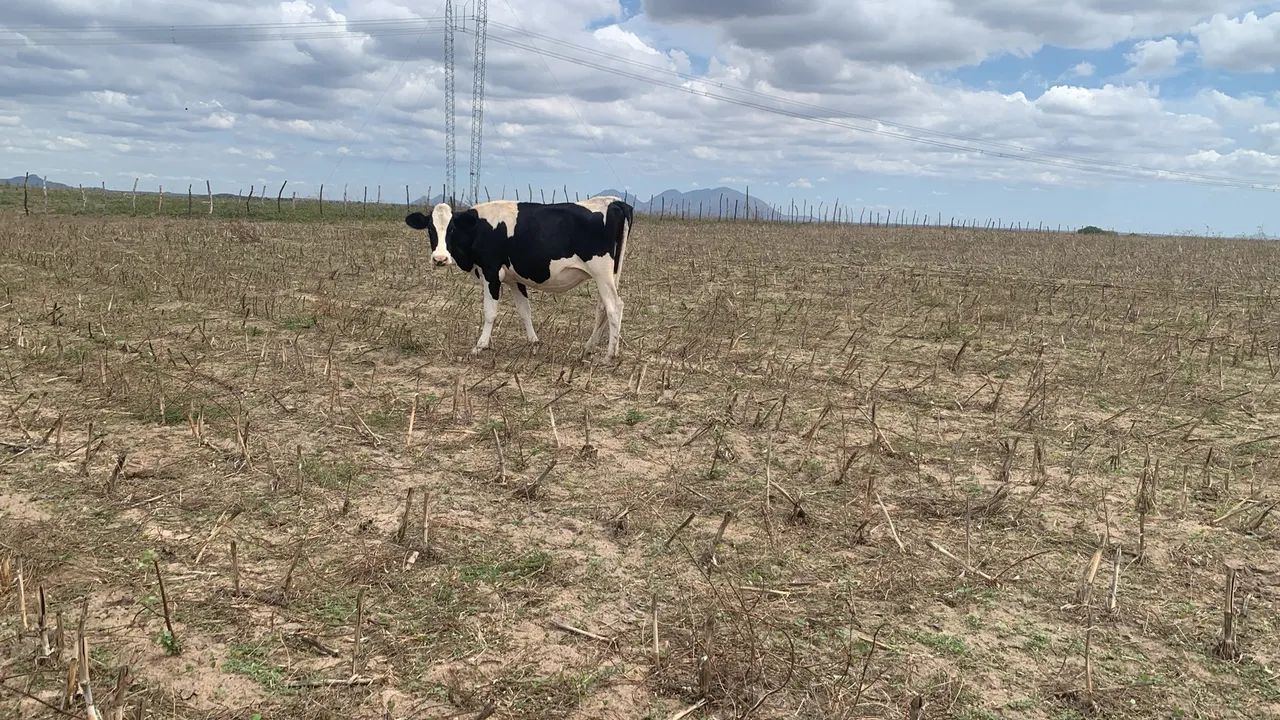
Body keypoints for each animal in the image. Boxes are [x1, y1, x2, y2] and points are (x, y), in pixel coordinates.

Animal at [405, 195, 634, 360]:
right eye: (430, 229)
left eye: (452, 228)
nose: (440, 258)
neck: (478, 228)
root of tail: (614, 202)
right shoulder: (514, 279)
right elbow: (525, 311)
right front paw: (534, 342)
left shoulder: (491, 273)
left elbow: (490, 313)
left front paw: (480, 346)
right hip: (610, 274)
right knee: (603, 308)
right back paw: (589, 348)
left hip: (601, 273)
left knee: (614, 307)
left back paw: (610, 355)